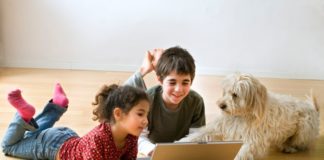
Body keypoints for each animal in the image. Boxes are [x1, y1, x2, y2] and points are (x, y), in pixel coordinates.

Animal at [178, 73, 320, 159]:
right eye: (226, 92)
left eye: (235, 94)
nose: (221, 105)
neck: (241, 115)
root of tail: (312, 107)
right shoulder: (218, 127)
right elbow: (197, 135)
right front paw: (180, 143)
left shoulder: (253, 140)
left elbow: (241, 153)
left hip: (304, 128)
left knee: (302, 144)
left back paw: (288, 147)